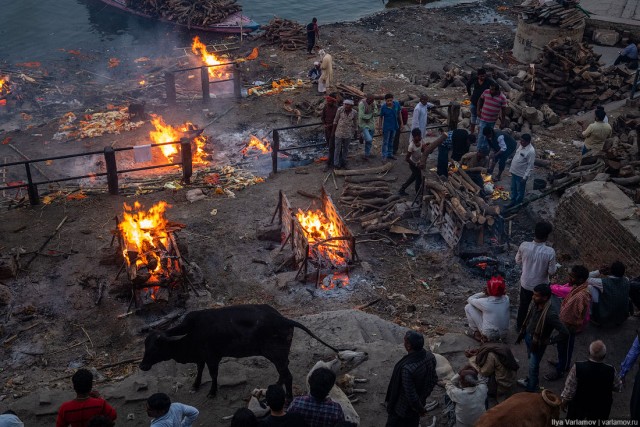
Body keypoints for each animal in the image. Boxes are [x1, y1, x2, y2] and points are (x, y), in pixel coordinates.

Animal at [140, 304, 340, 398]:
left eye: (156, 346)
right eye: (145, 345)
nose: (142, 366)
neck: (191, 332)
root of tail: (284, 319)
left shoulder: (213, 357)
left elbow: (213, 375)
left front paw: (212, 392)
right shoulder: (201, 357)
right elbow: (199, 371)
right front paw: (195, 385)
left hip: (276, 355)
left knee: (288, 376)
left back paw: (289, 398)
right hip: (280, 356)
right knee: (284, 374)